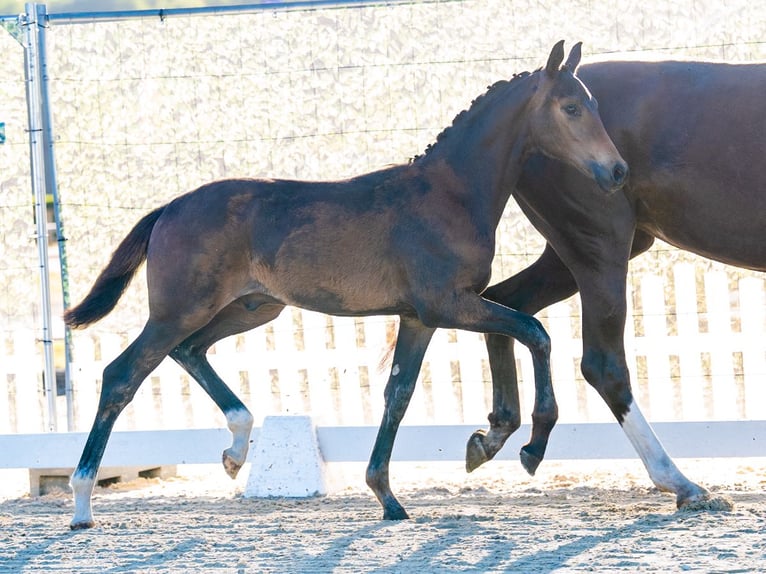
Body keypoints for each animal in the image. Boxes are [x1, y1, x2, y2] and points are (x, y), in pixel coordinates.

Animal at [63, 41, 627, 529]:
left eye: (595, 104)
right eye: (571, 107)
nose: (618, 171)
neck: (450, 192)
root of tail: (168, 209)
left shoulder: (418, 317)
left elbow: (398, 394)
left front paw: (391, 494)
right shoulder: (448, 305)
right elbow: (535, 331)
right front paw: (528, 447)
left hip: (251, 308)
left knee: (189, 351)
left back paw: (236, 449)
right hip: (179, 310)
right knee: (122, 375)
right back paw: (82, 503)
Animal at [464, 58, 765, 509]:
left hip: (573, 255)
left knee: (507, 303)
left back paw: (500, 435)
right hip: (599, 246)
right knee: (603, 364)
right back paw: (682, 483)